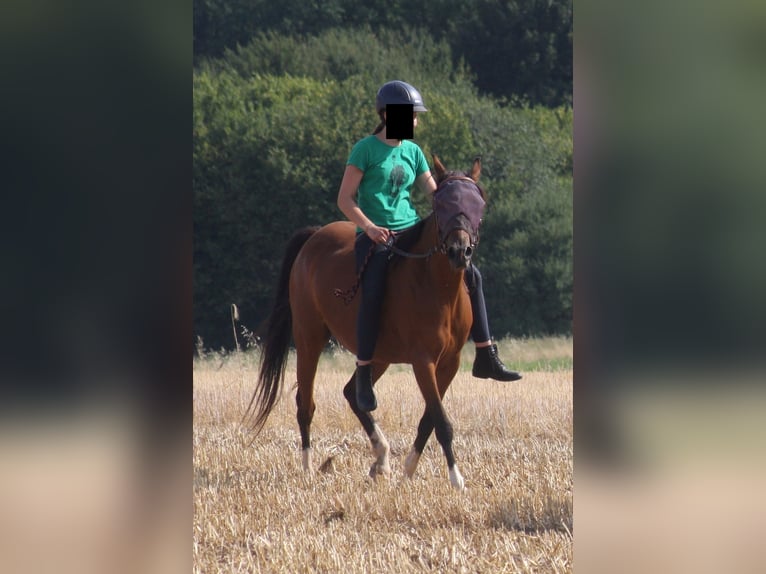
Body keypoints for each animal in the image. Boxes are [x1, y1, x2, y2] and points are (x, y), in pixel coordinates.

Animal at [246, 155, 487, 490]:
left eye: (478, 203)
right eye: (441, 205)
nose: (459, 251)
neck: (438, 286)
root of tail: (315, 235)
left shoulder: (450, 362)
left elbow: (429, 417)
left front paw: (409, 468)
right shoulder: (422, 360)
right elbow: (441, 420)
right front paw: (456, 478)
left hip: (378, 355)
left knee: (354, 394)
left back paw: (381, 458)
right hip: (309, 338)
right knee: (305, 403)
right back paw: (308, 468)